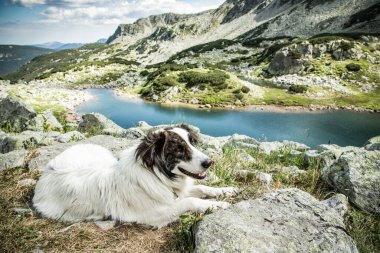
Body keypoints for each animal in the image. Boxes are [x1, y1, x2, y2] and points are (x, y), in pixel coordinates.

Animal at [32, 124, 236, 227]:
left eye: (192, 143)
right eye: (179, 149)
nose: (209, 162)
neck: (156, 175)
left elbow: (201, 187)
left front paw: (226, 191)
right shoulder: (154, 214)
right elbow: (191, 201)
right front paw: (218, 204)